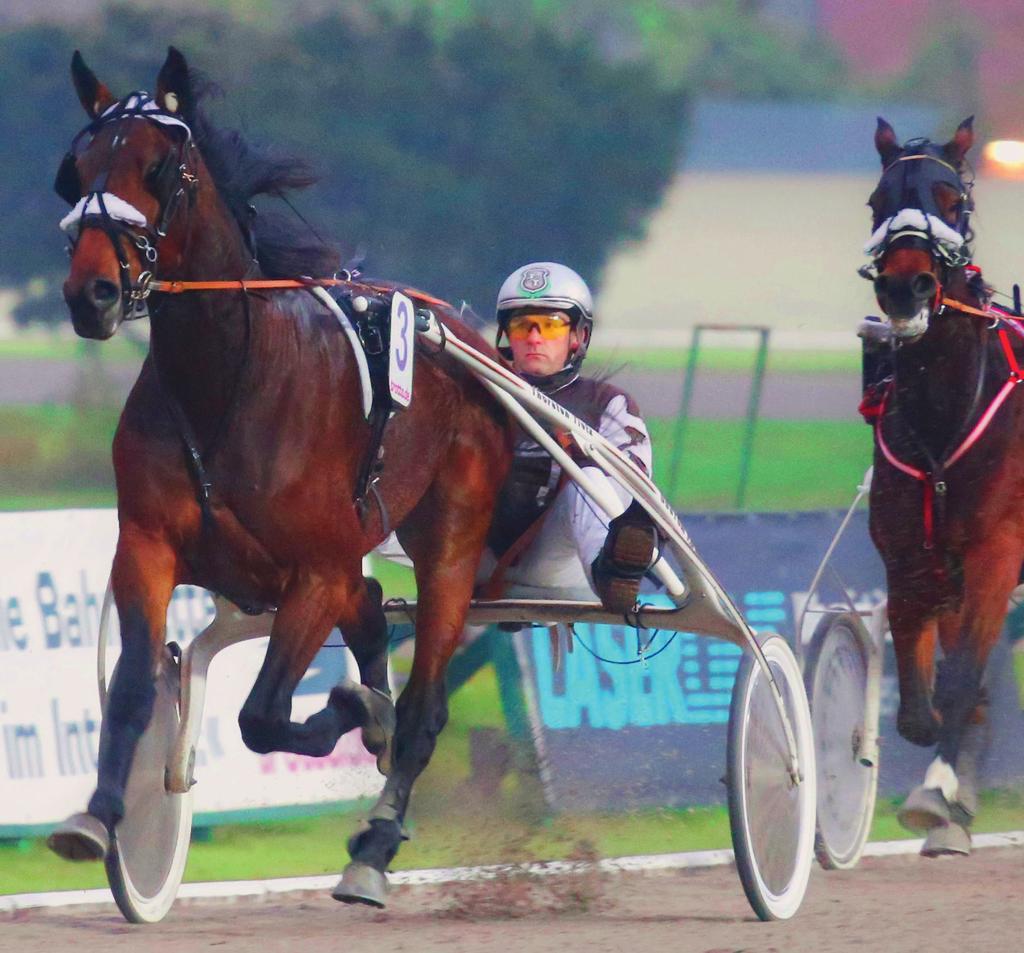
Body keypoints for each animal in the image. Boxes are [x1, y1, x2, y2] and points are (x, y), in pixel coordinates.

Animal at [48, 46, 512, 908]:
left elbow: (263, 716)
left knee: (423, 701)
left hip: (452, 538)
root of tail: (465, 336)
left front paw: (354, 706)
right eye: (76, 172)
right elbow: (132, 686)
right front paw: (98, 816)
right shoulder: (149, 545)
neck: (228, 378)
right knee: (373, 612)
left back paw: (376, 838)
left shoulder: (315, 571)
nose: (90, 293)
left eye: (158, 168)